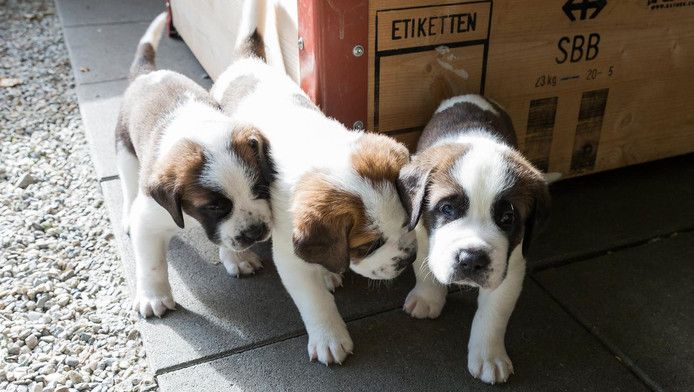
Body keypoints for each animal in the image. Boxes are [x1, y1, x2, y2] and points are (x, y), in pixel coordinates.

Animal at [116, 13, 274, 318]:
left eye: (260, 189)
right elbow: (151, 263)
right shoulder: (149, 218)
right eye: (213, 207)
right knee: (128, 186)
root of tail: (147, 74)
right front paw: (153, 297)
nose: (255, 232)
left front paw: (237, 258)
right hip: (125, 150)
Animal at [211, 1, 418, 366]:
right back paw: (235, 257)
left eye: (408, 222)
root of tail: (245, 63)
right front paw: (329, 337)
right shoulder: (289, 253)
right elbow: (314, 300)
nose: (407, 260)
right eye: (368, 246)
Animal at [400, 95, 552, 382]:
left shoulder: (511, 267)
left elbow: (493, 313)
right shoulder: (420, 233)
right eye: (447, 209)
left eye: (507, 218)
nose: (471, 259)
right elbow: (424, 267)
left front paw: (490, 357)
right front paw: (427, 298)